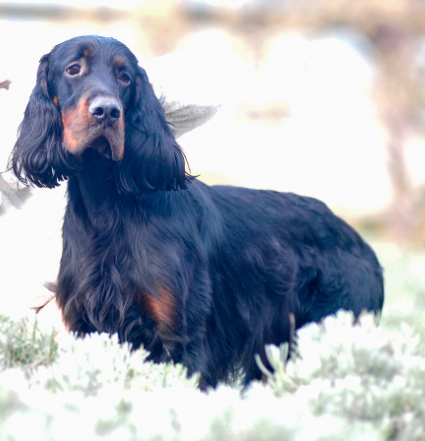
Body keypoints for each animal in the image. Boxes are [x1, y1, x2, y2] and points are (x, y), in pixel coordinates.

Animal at [10, 37, 380, 384]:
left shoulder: (183, 338)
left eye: (124, 76)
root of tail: (359, 241)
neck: (110, 210)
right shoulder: (91, 325)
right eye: (73, 69)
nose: (107, 111)